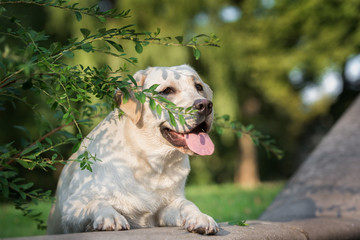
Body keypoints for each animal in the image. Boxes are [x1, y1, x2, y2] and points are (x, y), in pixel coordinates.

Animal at [46, 64, 218, 235]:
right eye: (167, 90)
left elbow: (187, 204)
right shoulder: (72, 208)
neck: (151, 164)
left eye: (198, 87)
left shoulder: (167, 206)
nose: (205, 105)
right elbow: (97, 202)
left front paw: (201, 217)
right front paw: (110, 216)